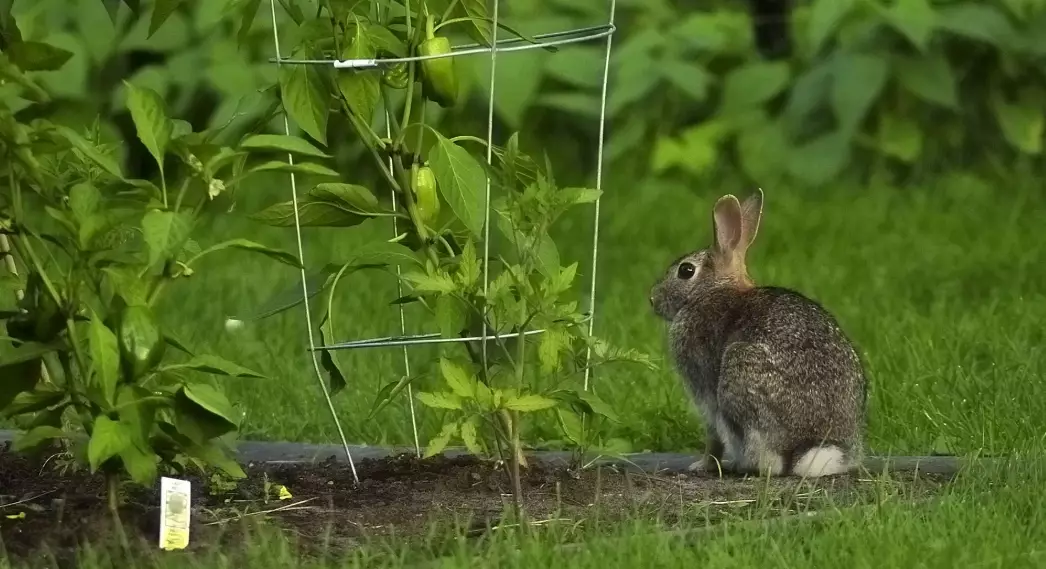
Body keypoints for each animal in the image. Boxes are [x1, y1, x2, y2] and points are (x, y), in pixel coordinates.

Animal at [649, 188, 867, 478]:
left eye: (686, 270)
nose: (652, 299)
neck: (712, 291)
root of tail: (810, 446)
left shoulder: (705, 391)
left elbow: (713, 436)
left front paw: (702, 465)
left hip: (739, 371)